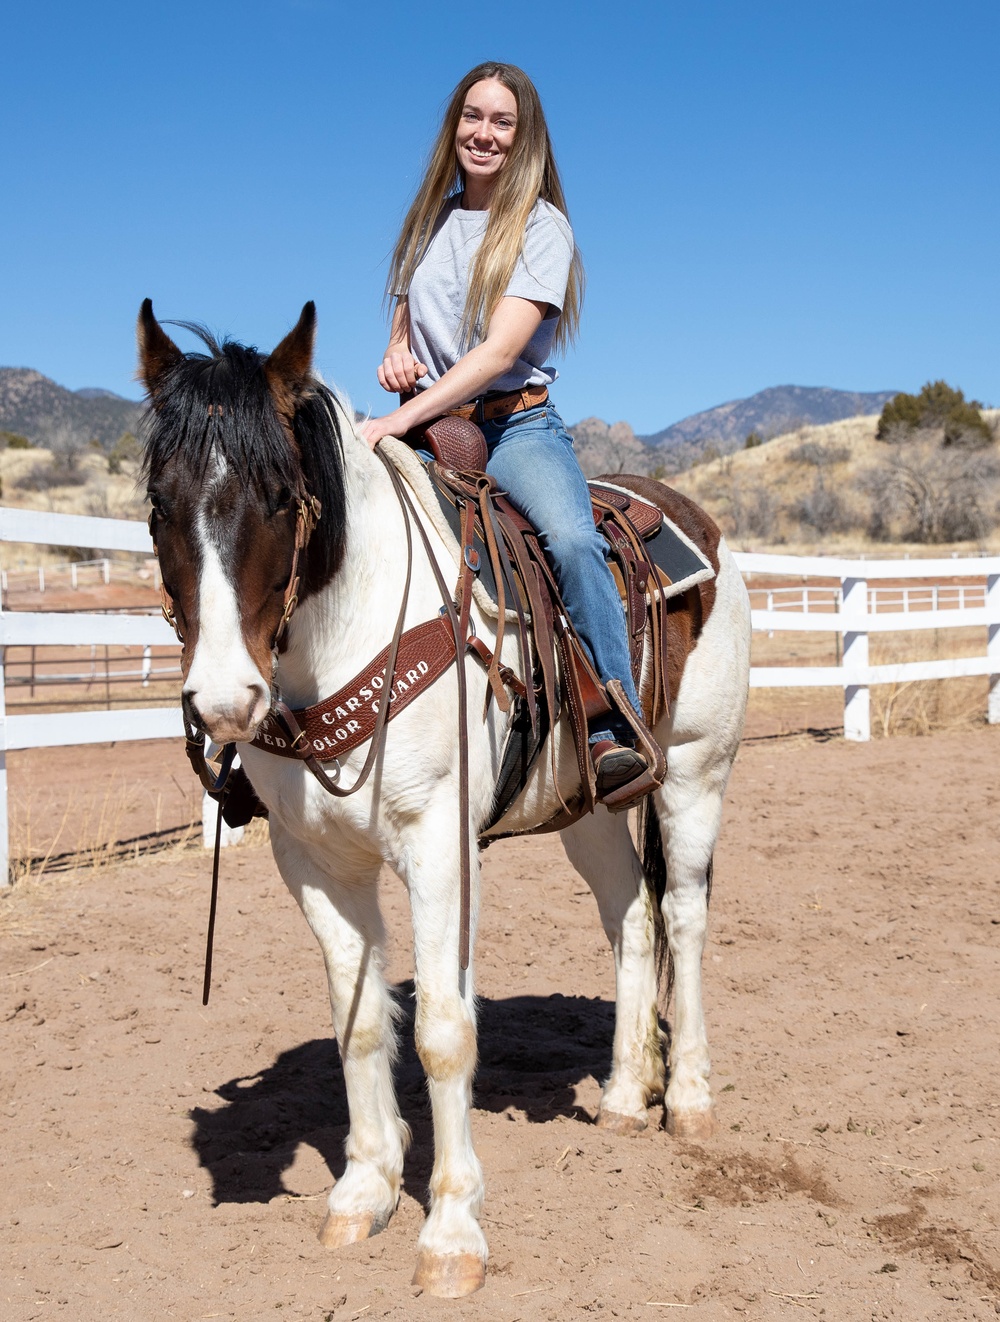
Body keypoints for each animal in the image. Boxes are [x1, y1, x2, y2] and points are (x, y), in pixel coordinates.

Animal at [138, 302, 751, 1300]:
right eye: (159, 505)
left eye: (282, 496)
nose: (225, 700)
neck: (342, 639)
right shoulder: (311, 860)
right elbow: (358, 1024)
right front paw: (363, 1194)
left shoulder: (438, 846)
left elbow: (442, 1030)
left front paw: (453, 1231)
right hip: (587, 803)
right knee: (630, 915)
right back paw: (626, 1096)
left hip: (698, 771)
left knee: (685, 919)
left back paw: (690, 1100)